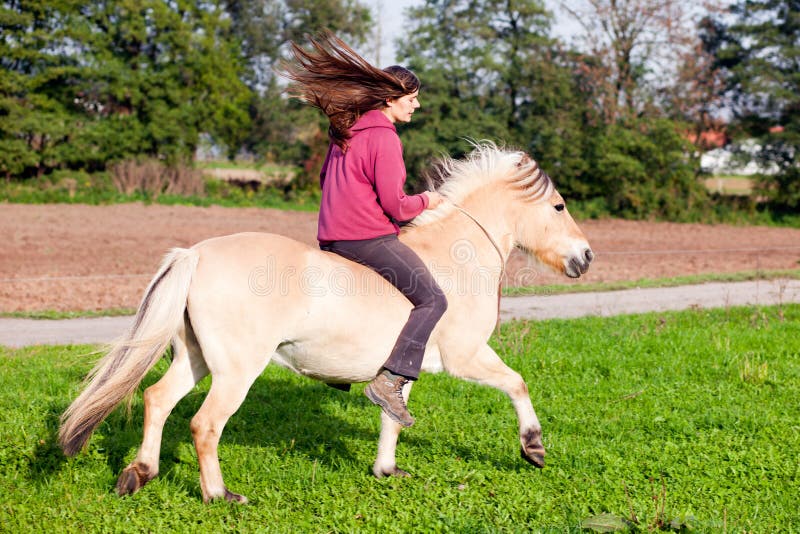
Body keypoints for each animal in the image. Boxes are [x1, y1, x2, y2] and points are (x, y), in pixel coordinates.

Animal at [57, 144, 592, 504]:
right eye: (559, 206)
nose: (586, 257)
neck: (456, 257)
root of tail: (196, 254)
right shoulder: (466, 357)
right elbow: (518, 384)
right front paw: (533, 449)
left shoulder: (400, 369)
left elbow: (391, 415)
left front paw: (386, 470)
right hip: (237, 370)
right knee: (204, 425)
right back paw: (220, 496)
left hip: (197, 358)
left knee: (156, 400)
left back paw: (138, 474)